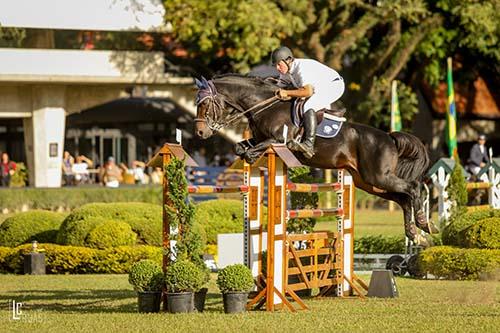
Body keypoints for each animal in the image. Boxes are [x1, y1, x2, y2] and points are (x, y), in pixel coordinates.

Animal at [193, 74, 436, 244]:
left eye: (204, 105)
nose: (201, 133)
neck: (265, 106)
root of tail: (389, 137)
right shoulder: (259, 139)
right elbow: (240, 147)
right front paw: (248, 155)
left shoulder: (279, 141)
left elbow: (259, 147)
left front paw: (252, 155)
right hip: (368, 182)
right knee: (402, 199)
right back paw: (415, 234)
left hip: (378, 176)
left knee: (412, 188)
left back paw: (424, 224)